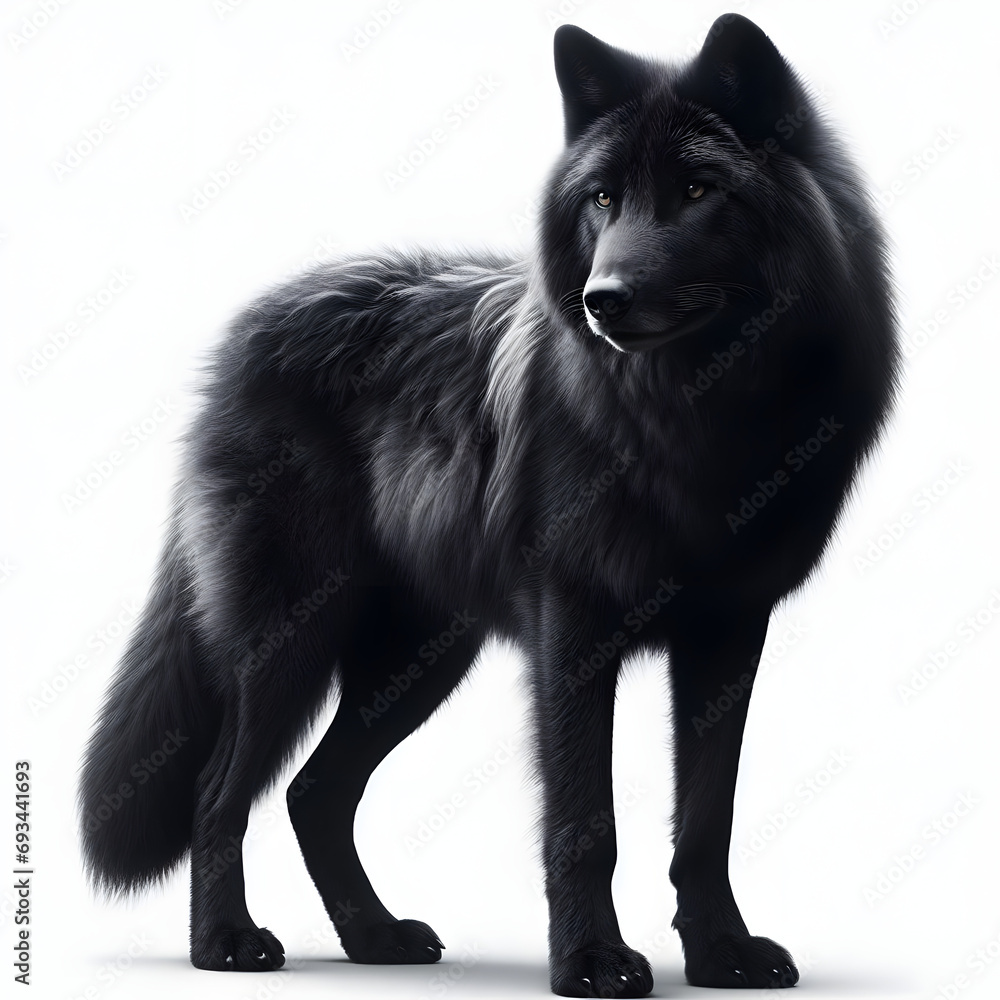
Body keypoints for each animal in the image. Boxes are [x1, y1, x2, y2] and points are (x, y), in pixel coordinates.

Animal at [79, 14, 898, 997]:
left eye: (699, 190)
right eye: (602, 199)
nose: (602, 301)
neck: (691, 416)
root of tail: (245, 329)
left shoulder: (728, 634)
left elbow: (707, 820)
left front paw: (721, 955)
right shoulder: (573, 628)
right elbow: (585, 824)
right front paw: (590, 963)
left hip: (417, 660)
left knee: (315, 793)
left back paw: (376, 939)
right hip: (290, 646)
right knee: (218, 791)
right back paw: (226, 945)